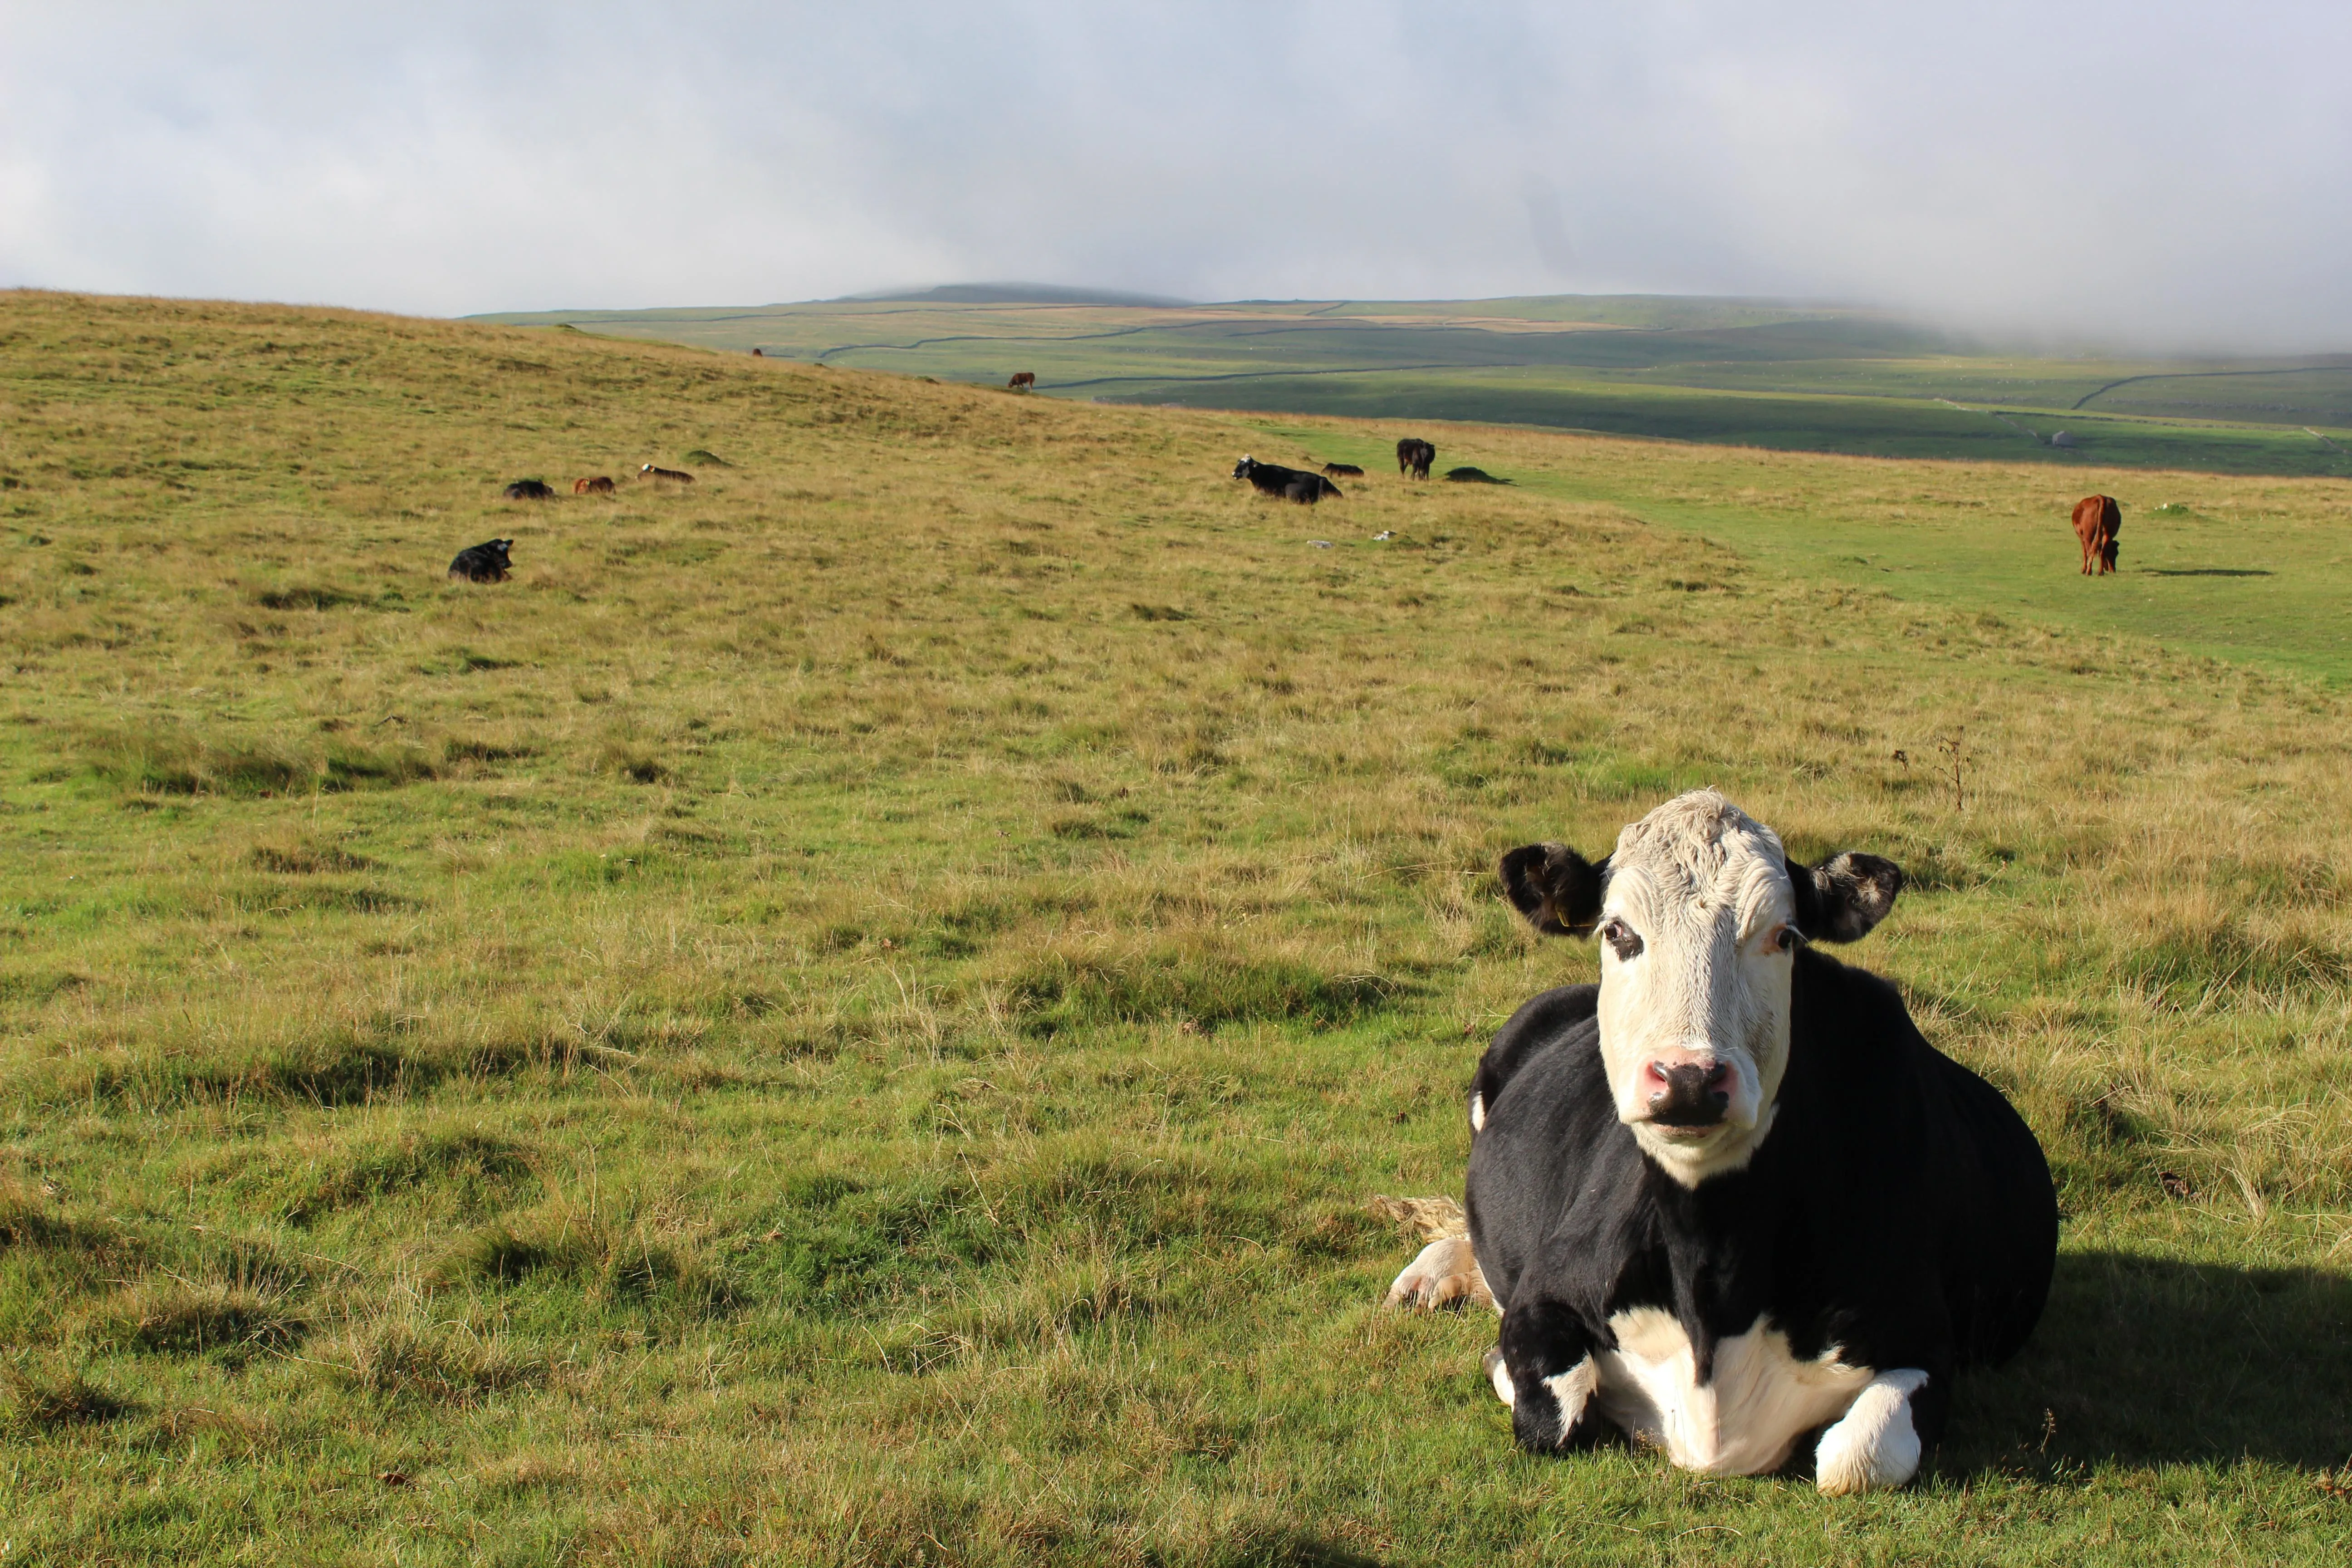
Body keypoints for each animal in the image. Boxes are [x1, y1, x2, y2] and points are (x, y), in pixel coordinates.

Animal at [1392, 799, 2060, 1495]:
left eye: (1784, 936)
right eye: (1617, 931)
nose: (1688, 1079)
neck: (1712, 1267)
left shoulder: (1923, 1337)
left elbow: (1855, 1459)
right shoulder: (1545, 1291)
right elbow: (1554, 1413)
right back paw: (1428, 1276)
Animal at [2069, 496, 2126, 576]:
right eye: (2116, 553)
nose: (2113, 570)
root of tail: (2100, 497)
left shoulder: (2081, 536)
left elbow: (2085, 553)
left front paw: (2083, 570)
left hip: (2088, 535)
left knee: (2090, 551)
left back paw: (2089, 571)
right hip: (2108, 533)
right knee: (2102, 552)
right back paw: (2100, 572)